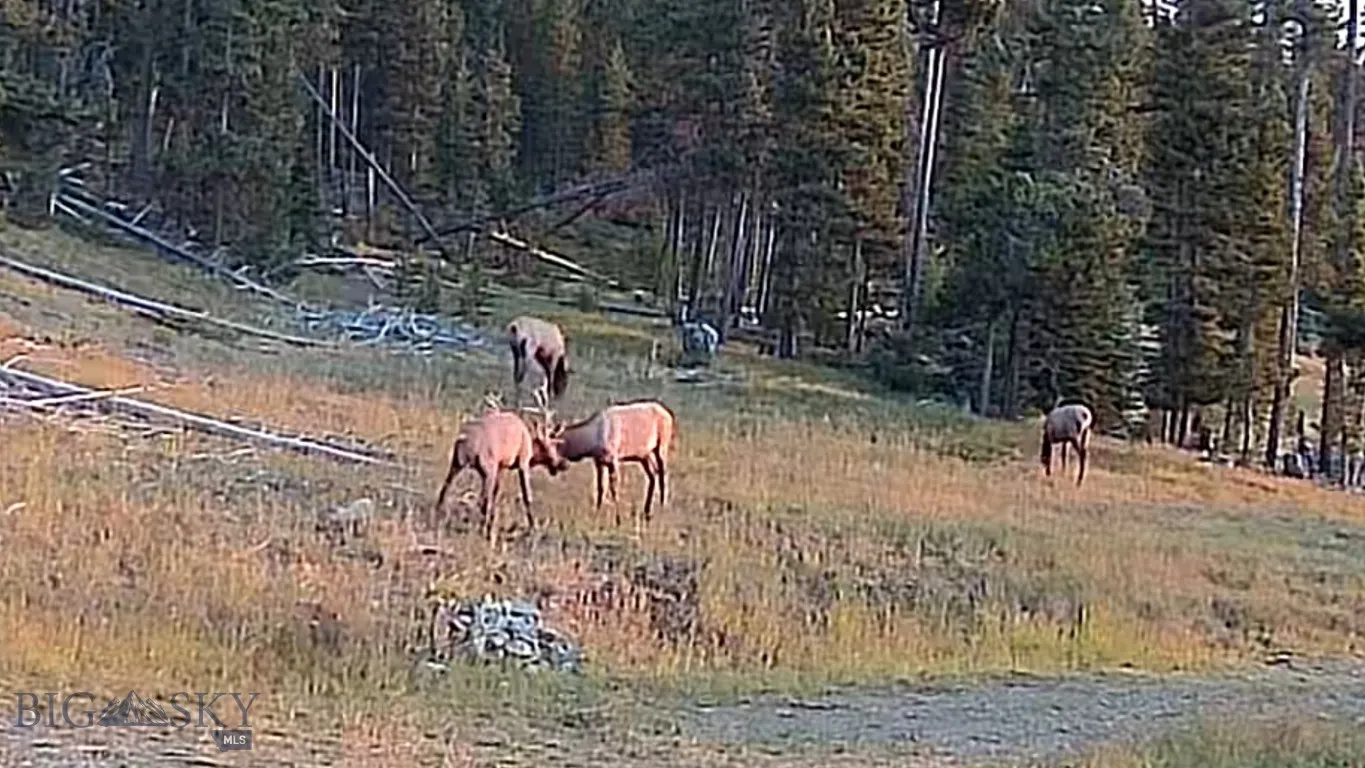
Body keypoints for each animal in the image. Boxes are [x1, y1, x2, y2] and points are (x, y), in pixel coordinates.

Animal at [433, 396, 558, 544]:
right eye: (550, 446)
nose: (560, 464)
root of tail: (464, 439)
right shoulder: (522, 462)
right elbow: (526, 496)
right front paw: (533, 529)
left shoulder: (501, 466)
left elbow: (496, 494)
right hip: (487, 468)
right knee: (482, 500)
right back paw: (484, 532)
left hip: (456, 463)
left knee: (444, 489)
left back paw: (438, 516)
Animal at [530, 396, 677, 526]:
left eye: (551, 445)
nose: (563, 465)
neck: (590, 442)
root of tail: (669, 414)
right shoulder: (599, 461)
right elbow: (601, 488)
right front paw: (597, 513)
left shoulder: (614, 459)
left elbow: (614, 489)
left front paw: (618, 519)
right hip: (644, 455)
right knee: (652, 475)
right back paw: (647, 512)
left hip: (661, 445)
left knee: (662, 472)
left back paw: (662, 507)